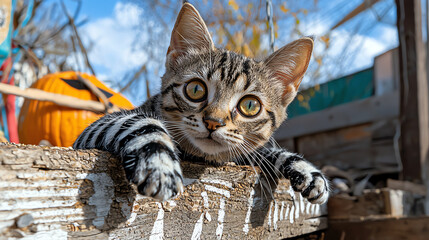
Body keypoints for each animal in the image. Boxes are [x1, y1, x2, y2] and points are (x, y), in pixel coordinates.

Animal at [72, 1, 328, 204]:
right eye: (195, 90)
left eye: (250, 106)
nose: (213, 122)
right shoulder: (92, 130)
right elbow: (139, 122)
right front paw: (160, 164)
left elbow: (264, 152)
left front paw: (309, 172)